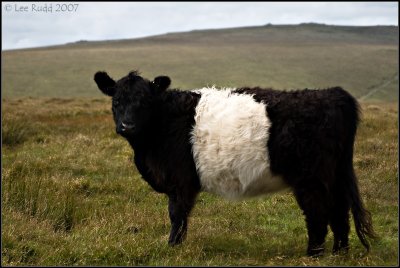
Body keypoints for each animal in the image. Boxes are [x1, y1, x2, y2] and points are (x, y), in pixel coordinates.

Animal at [94, 70, 376, 256]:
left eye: (145, 102)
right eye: (116, 101)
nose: (127, 125)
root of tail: (333, 94)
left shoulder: (180, 181)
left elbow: (177, 214)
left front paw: (173, 246)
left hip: (311, 178)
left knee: (318, 212)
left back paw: (313, 254)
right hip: (334, 175)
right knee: (339, 211)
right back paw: (339, 252)